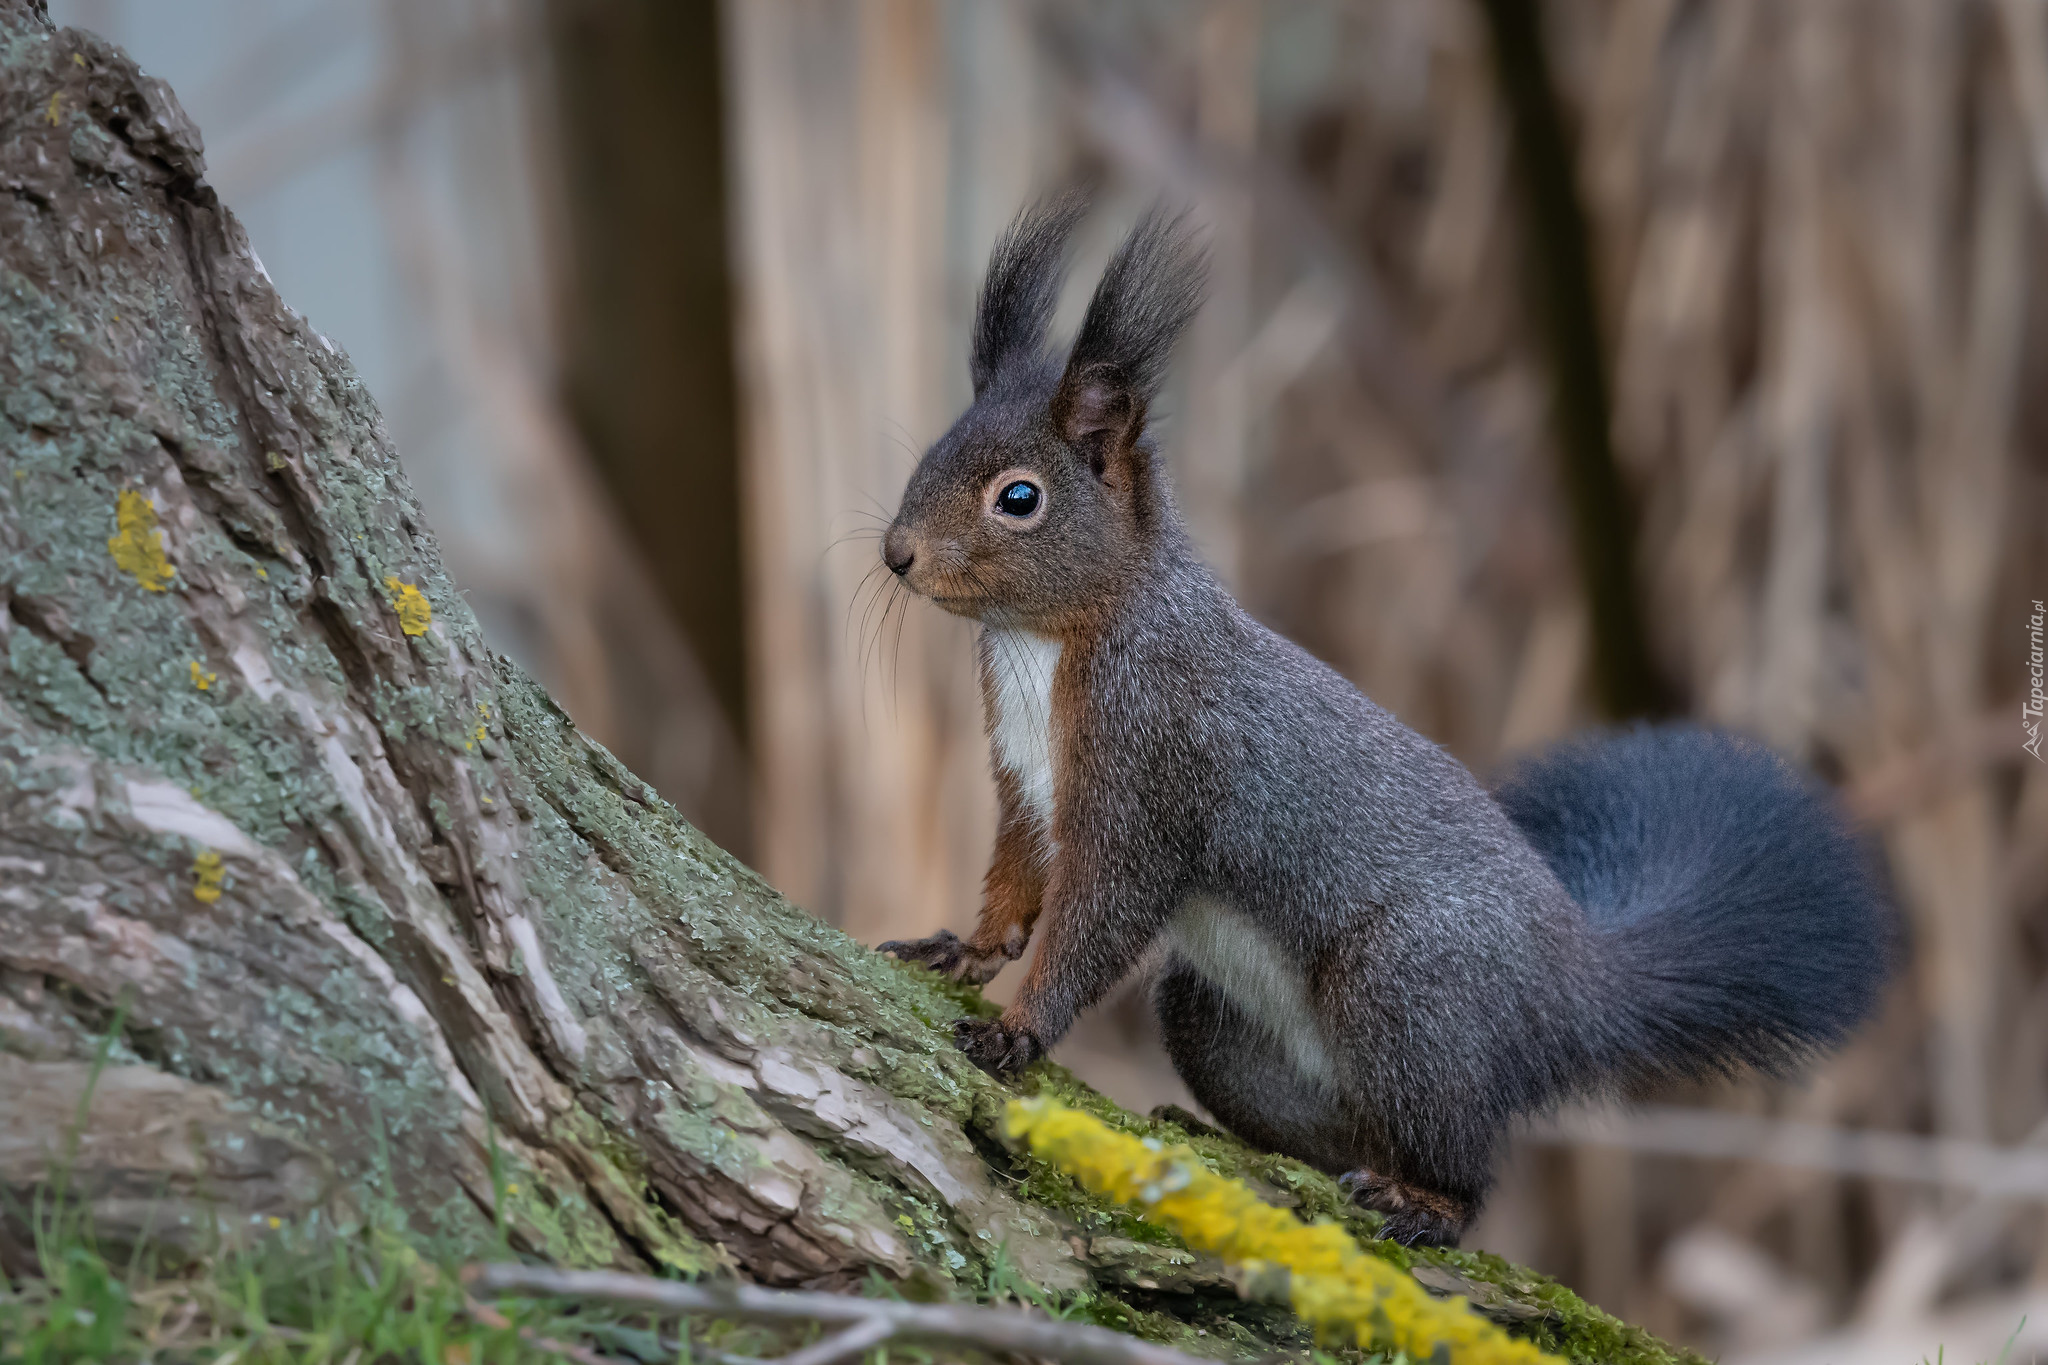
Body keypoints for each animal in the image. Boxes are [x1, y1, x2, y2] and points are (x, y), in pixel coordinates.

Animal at [872, 194, 1892, 1252]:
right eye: (930, 455)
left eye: (1019, 497)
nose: (897, 552)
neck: (1046, 647)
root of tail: (1571, 988)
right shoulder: (1028, 786)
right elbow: (1015, 881)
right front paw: (962, 948)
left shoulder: (1153, 772)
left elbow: (1096, 920)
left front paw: (1018, 1028)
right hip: (1226, 1022)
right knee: (1354, 1121)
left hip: (1408, 986)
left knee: (1466, 1160)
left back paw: (1423, 1203)